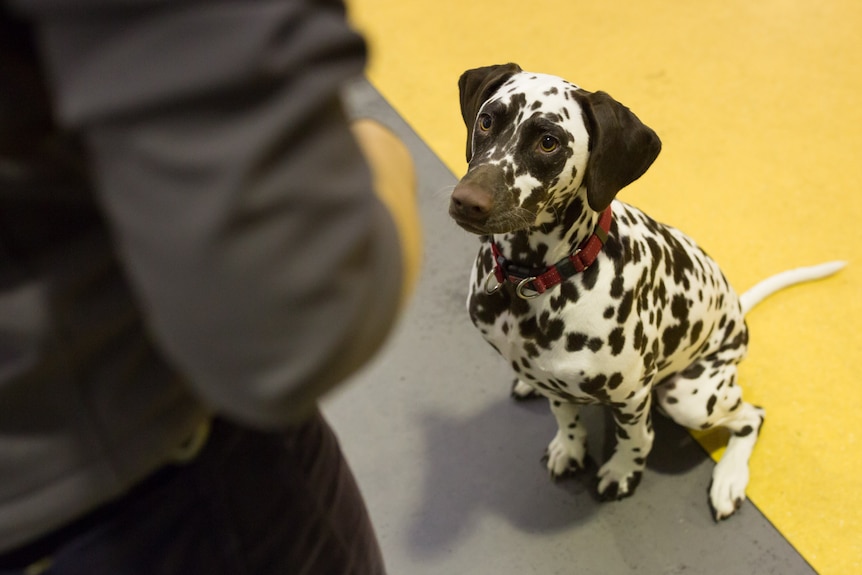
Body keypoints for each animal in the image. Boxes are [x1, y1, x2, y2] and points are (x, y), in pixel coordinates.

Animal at [456, 63, 848, 520]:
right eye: (487, 120)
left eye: (548, 142)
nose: (466, 201)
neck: (538, 280)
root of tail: (738, 313)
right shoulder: (553, 380)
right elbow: (564, 414)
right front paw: (569, 446)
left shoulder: (632, 397)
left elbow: (637, 440)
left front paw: (622, 471)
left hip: (690, 397)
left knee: (751, 416)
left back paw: (730, 478)